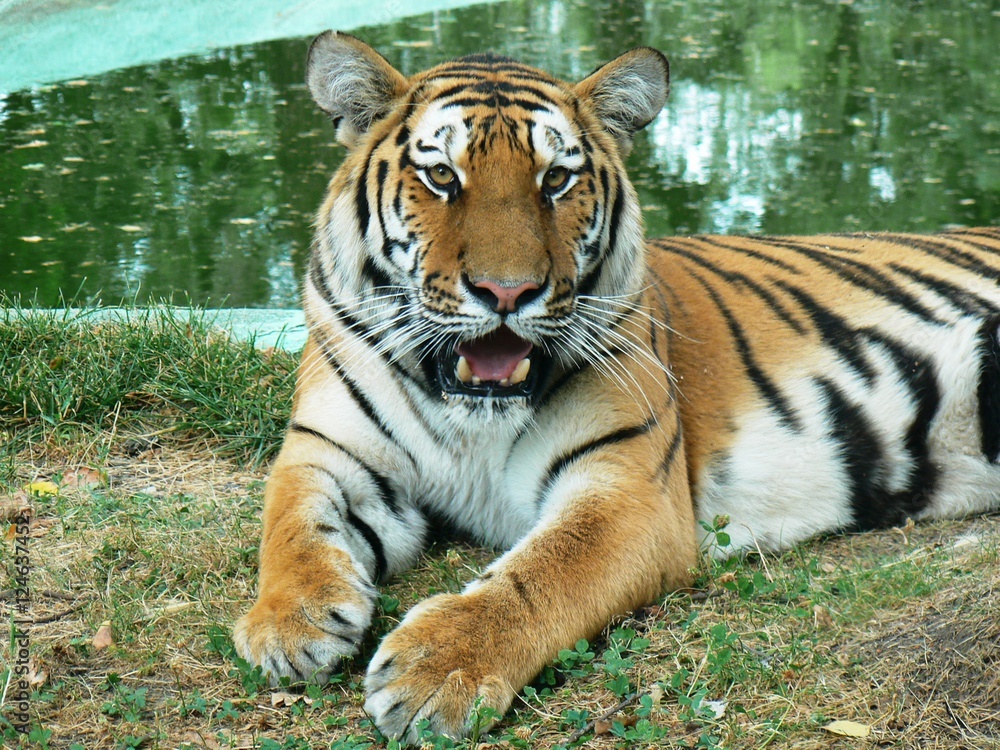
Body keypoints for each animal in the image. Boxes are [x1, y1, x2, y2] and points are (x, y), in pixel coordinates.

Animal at [233, 31, 1000, 741]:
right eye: (443, 176)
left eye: (555, 181)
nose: (506, 292)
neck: (470, 418)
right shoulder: (327, 449)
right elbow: (290, 521)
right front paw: (289, 624)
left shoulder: (628, 490)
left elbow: (540, 576)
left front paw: (434, 670)